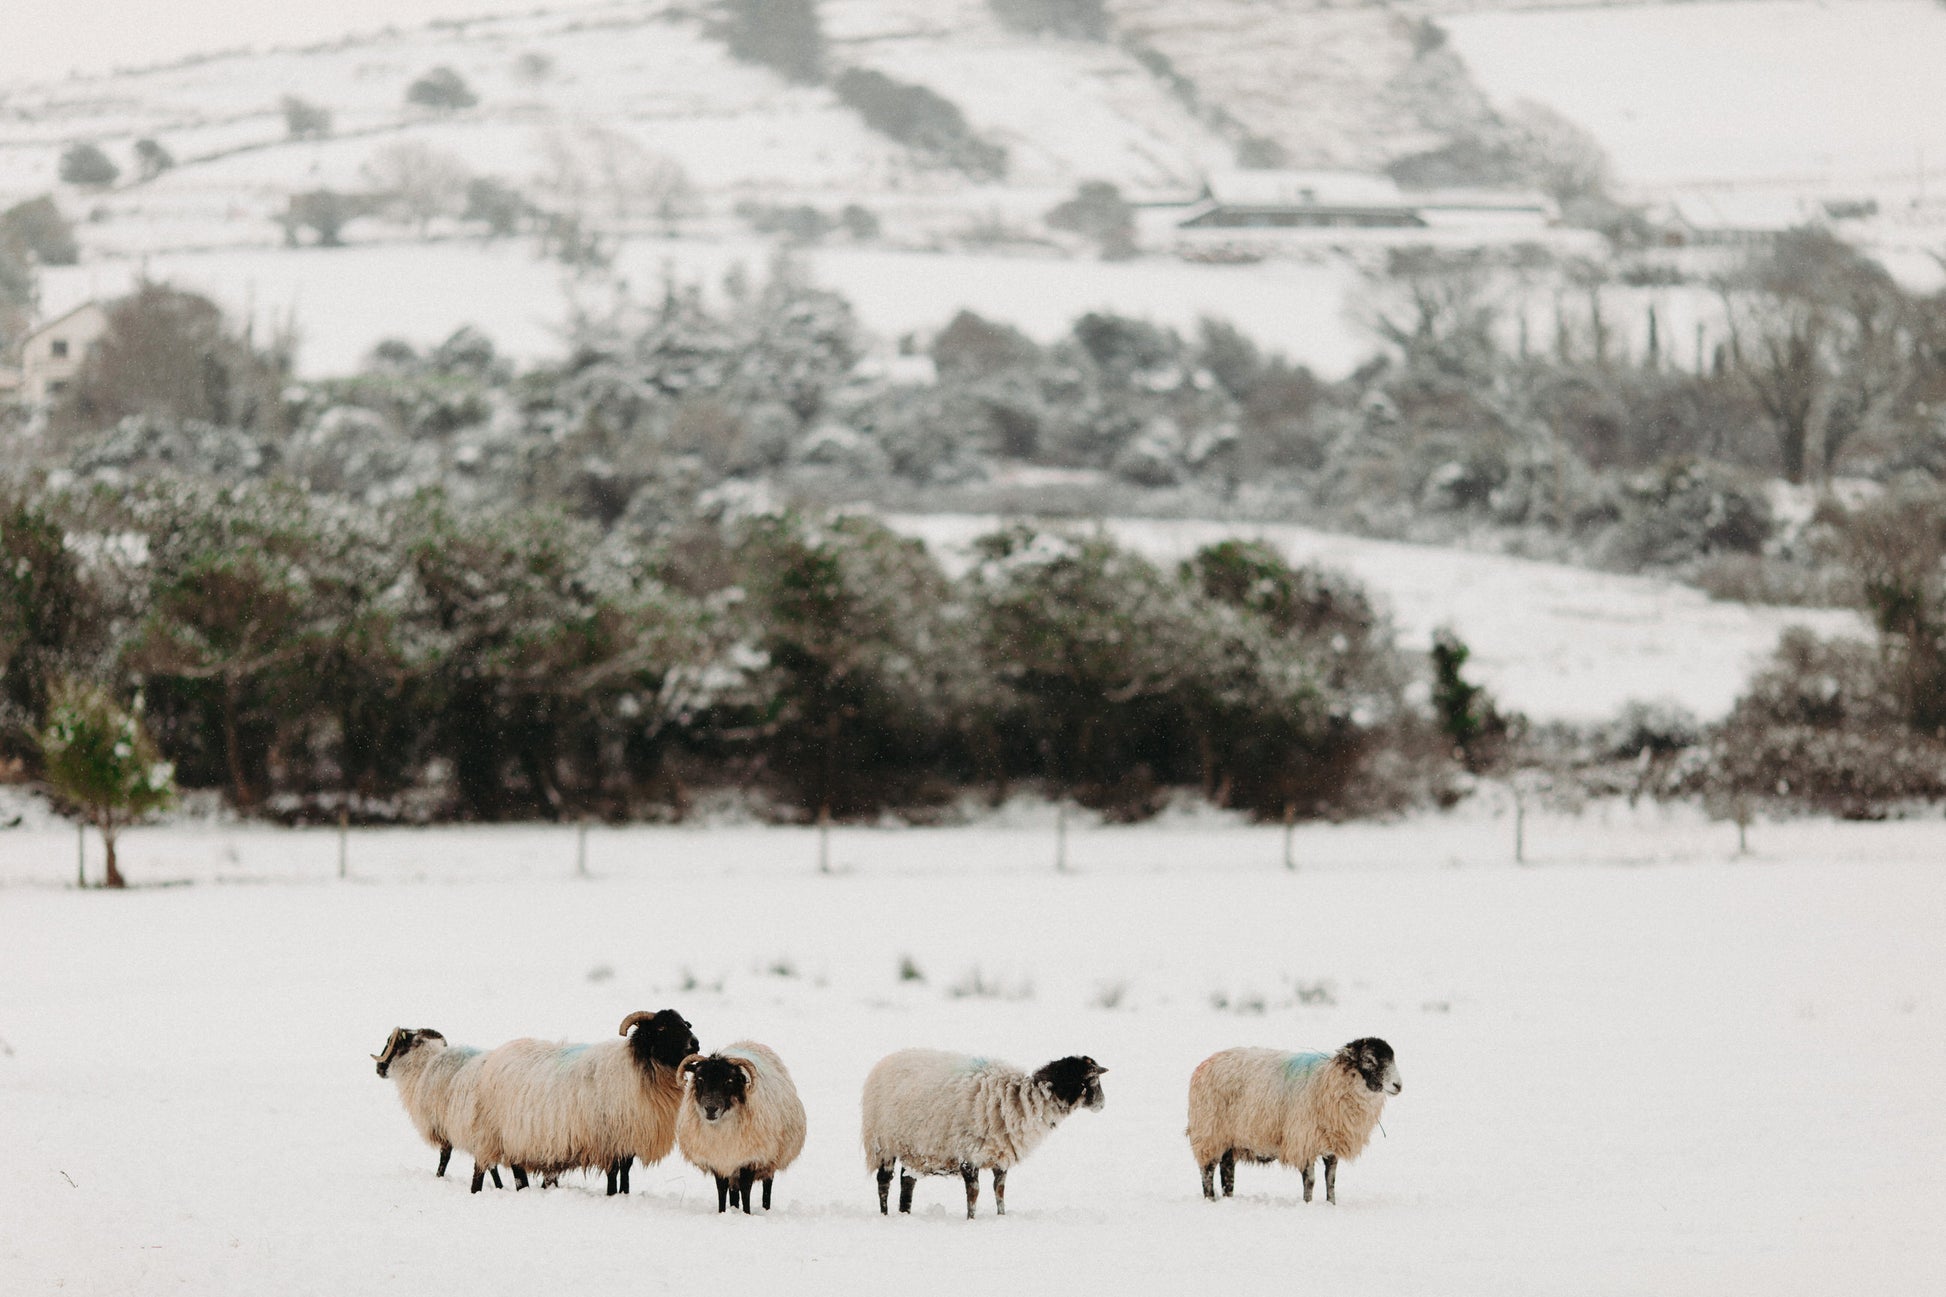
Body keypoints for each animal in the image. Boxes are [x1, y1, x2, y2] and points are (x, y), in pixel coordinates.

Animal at [365, 1028, 502, 1184]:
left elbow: (445, 1156)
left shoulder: (441, 1126)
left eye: (389, 1042)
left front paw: (439, 1176)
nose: (379, 1069)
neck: (422, 1067)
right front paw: (499, 1186)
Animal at [468, 1004, 700, 1199]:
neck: (640, 1068)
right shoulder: (609, 1138)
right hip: (492, 1132)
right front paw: (612, 1195)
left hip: (514, 1138)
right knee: (481, 1168)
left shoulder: (625, 1139)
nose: (695, 1043)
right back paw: (476, 1192)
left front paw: (624, 1195)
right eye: (661, 1027)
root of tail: (490, 1059)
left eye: (685, 1024)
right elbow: (613, 1172)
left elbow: (625, 1171)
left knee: (516, 1170)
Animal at [677, 1043, 805, 1215]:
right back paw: (734, 1208)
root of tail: (751, 1042)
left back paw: (765, 1209)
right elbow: (722, 1189)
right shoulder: (718, 1161)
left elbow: (746, 1189)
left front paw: (747, 1214)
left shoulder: (750, 1159)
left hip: (770, 1159)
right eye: (699, 1079)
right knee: (733, 1191)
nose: (710, 1109)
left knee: (767, 1187)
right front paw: (723, 1213)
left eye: (729, 1081)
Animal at [860, 1043, 1105, 1215]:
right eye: (1093, 1081)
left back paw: (905, 1213)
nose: (1103, 1104)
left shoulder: (1001, 1155)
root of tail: (885, 1061)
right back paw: (885, 1214)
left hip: (915, 1147)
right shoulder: (969, 1154)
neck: (1022, 1099)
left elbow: (999, 1190)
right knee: (884, 1181)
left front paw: (1001, 1216)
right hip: (882, 1143)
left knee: (907, 1181)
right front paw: (971, 1219)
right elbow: (974, 1192)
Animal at [1183, 1028, 1401, 1199]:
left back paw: (1229, 1198)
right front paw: (1308, 1204)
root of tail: (1204, 1065)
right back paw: (1210, 1199)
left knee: (1227, 1171)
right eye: (1369, 1060)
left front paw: (1331, 1204)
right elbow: (1310, 1180)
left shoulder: (1330, 1143)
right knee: (1207, 1171)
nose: (1398, 1085)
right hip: (1209, 1132)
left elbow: (1331, 1180)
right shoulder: (1303, 1139)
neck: (1329, 1083)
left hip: (1230, 1139)